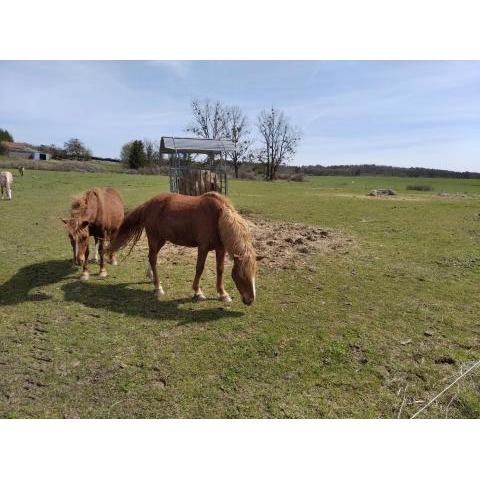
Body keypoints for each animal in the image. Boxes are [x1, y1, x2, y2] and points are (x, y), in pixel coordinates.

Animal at [109, 190, 262, 304]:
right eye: (241, 275)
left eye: (254, 273)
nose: (250, 300)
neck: (218, 216)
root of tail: (148, 204)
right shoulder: (203, 247)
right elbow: (199, 268)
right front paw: (198, 292)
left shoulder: (220, 249)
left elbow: (220, 270)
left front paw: (223, 294)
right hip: (154, 238)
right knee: (153, 259)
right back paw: (158, 287)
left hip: (162, 239)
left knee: (151, 256)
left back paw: (151, 277)